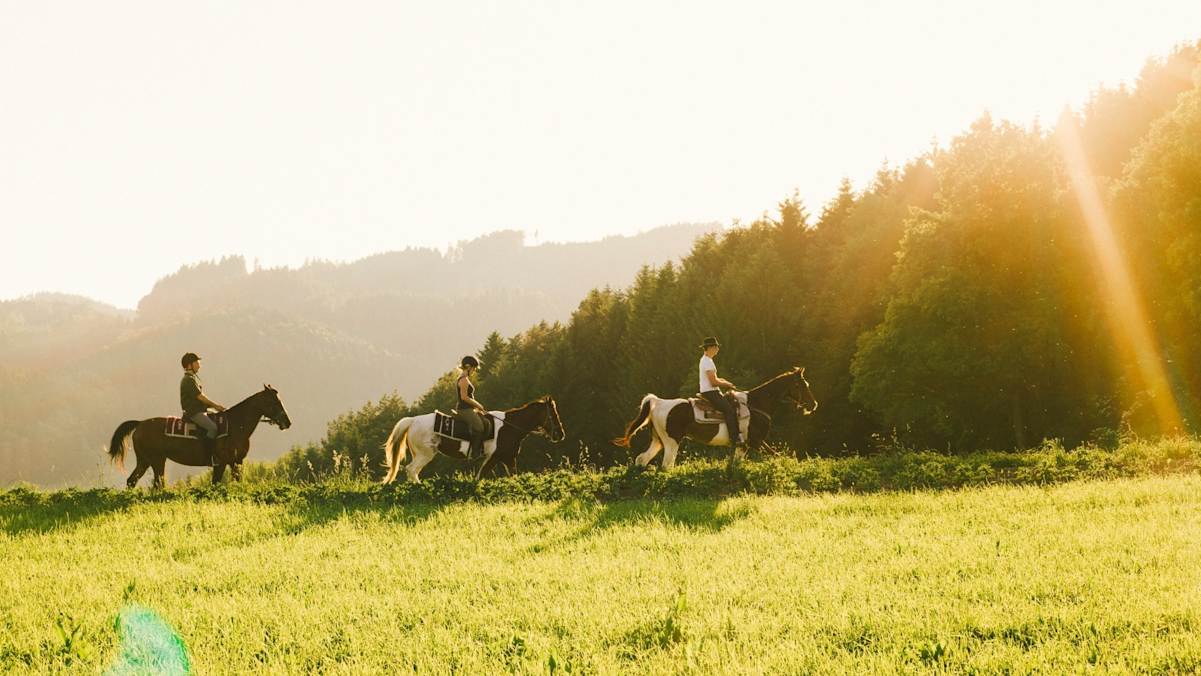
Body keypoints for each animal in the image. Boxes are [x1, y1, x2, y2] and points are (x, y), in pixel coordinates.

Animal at [107, 385, 292, 488]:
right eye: (274, 401)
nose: (287, 422)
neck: (235, 425)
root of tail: (140, 424)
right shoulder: (221, 463)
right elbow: (215, 483)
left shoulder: (236, 462)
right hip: (156, 460)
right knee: (157, 484)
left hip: (145, 461)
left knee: (133, 481)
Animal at [380, 396, 565, 484]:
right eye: (553, 414)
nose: (560, 434)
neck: (510, 427)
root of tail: (412, 421)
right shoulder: (495, 457)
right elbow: (480, 476)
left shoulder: (508, 458)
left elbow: (513, 476)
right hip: (425, 454)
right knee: (412, 470)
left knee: (413, 471)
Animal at [613, 367, 817, 470]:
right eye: (802, 385)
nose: (813, 405)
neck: (757, 405)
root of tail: (658, 401)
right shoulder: (756, 442)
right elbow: (776, 455)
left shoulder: (745, 446)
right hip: (672, 442)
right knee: (665, 466)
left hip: (658, 441)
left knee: (641, 459)